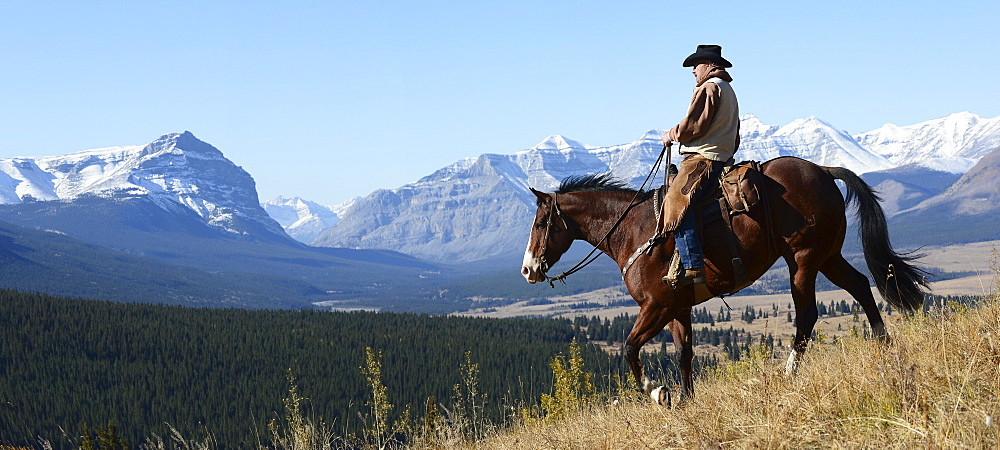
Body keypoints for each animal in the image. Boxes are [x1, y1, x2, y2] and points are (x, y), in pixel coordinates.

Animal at [524, 156, 928, 402]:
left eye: (541, 223)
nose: (528, 269)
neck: (635, 232)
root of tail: (824, 171)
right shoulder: (678, 308)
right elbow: (684, 353)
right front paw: (685, 401)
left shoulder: (656, 305)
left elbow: (629, 348)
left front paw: (658, 394)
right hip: (827, 256)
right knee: (859, 285)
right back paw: (884, 346)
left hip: (803, 260)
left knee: (807, 315)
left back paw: (788, 373)